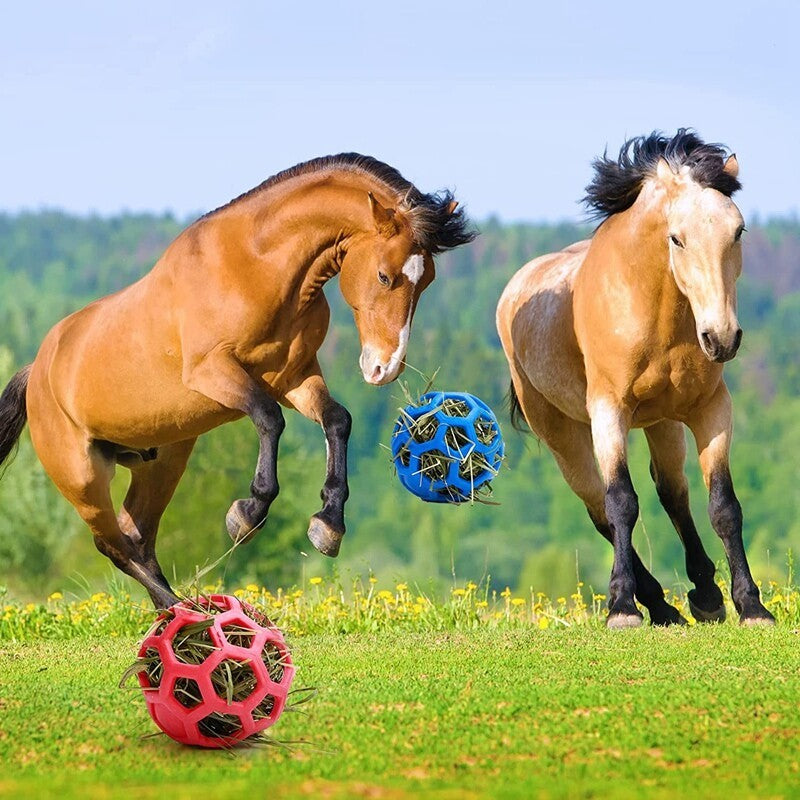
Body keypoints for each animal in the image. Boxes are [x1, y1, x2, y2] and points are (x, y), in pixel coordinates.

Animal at [0, 153, 475, 608]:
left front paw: (328, 525)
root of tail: (36, 371)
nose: (384, 368)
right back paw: (187, 612)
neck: (256, 269)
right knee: (111, 544)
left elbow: (337, 420)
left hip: (163, 462)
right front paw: (248, 513)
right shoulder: (213, 371)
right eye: (383, 275)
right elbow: (269, 418)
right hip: (82, 478)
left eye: (426, 280)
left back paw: (181, 615)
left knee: (136, 536)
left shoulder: (295, 377)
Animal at [497, 130, 774, 628]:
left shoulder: (711, 408)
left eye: (738, 230)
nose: (722, 338)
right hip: (563, 437)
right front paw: (622, 607)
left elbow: (724, 505)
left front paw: (751, 605)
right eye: (676, 238)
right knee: (599, 508)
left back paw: (703, 595)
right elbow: (622, 502)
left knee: (673, 493)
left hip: (662, 422)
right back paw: (656, 602)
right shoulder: (609, 412)